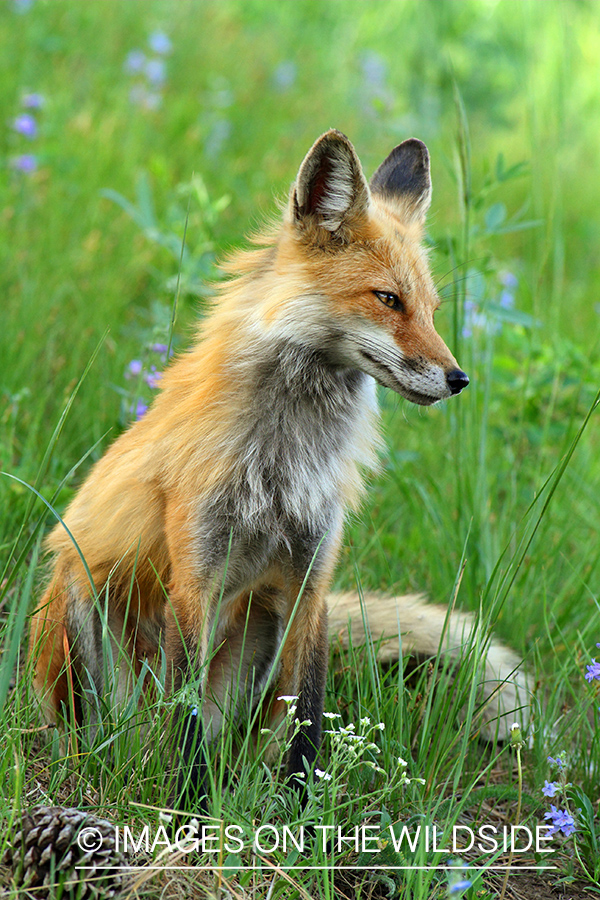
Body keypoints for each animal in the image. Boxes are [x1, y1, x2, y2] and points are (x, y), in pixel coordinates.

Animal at [29, 130, 524, 812]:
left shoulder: (310, 581)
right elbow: (185, 720)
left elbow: (308, 720)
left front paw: (302, 812)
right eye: (388, 299)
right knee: (114, 732)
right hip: (79, 593)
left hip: (259, 627)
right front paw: (187, 807)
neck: (284, 459)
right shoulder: (197, 577)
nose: (458, 379)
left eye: (431, 308)